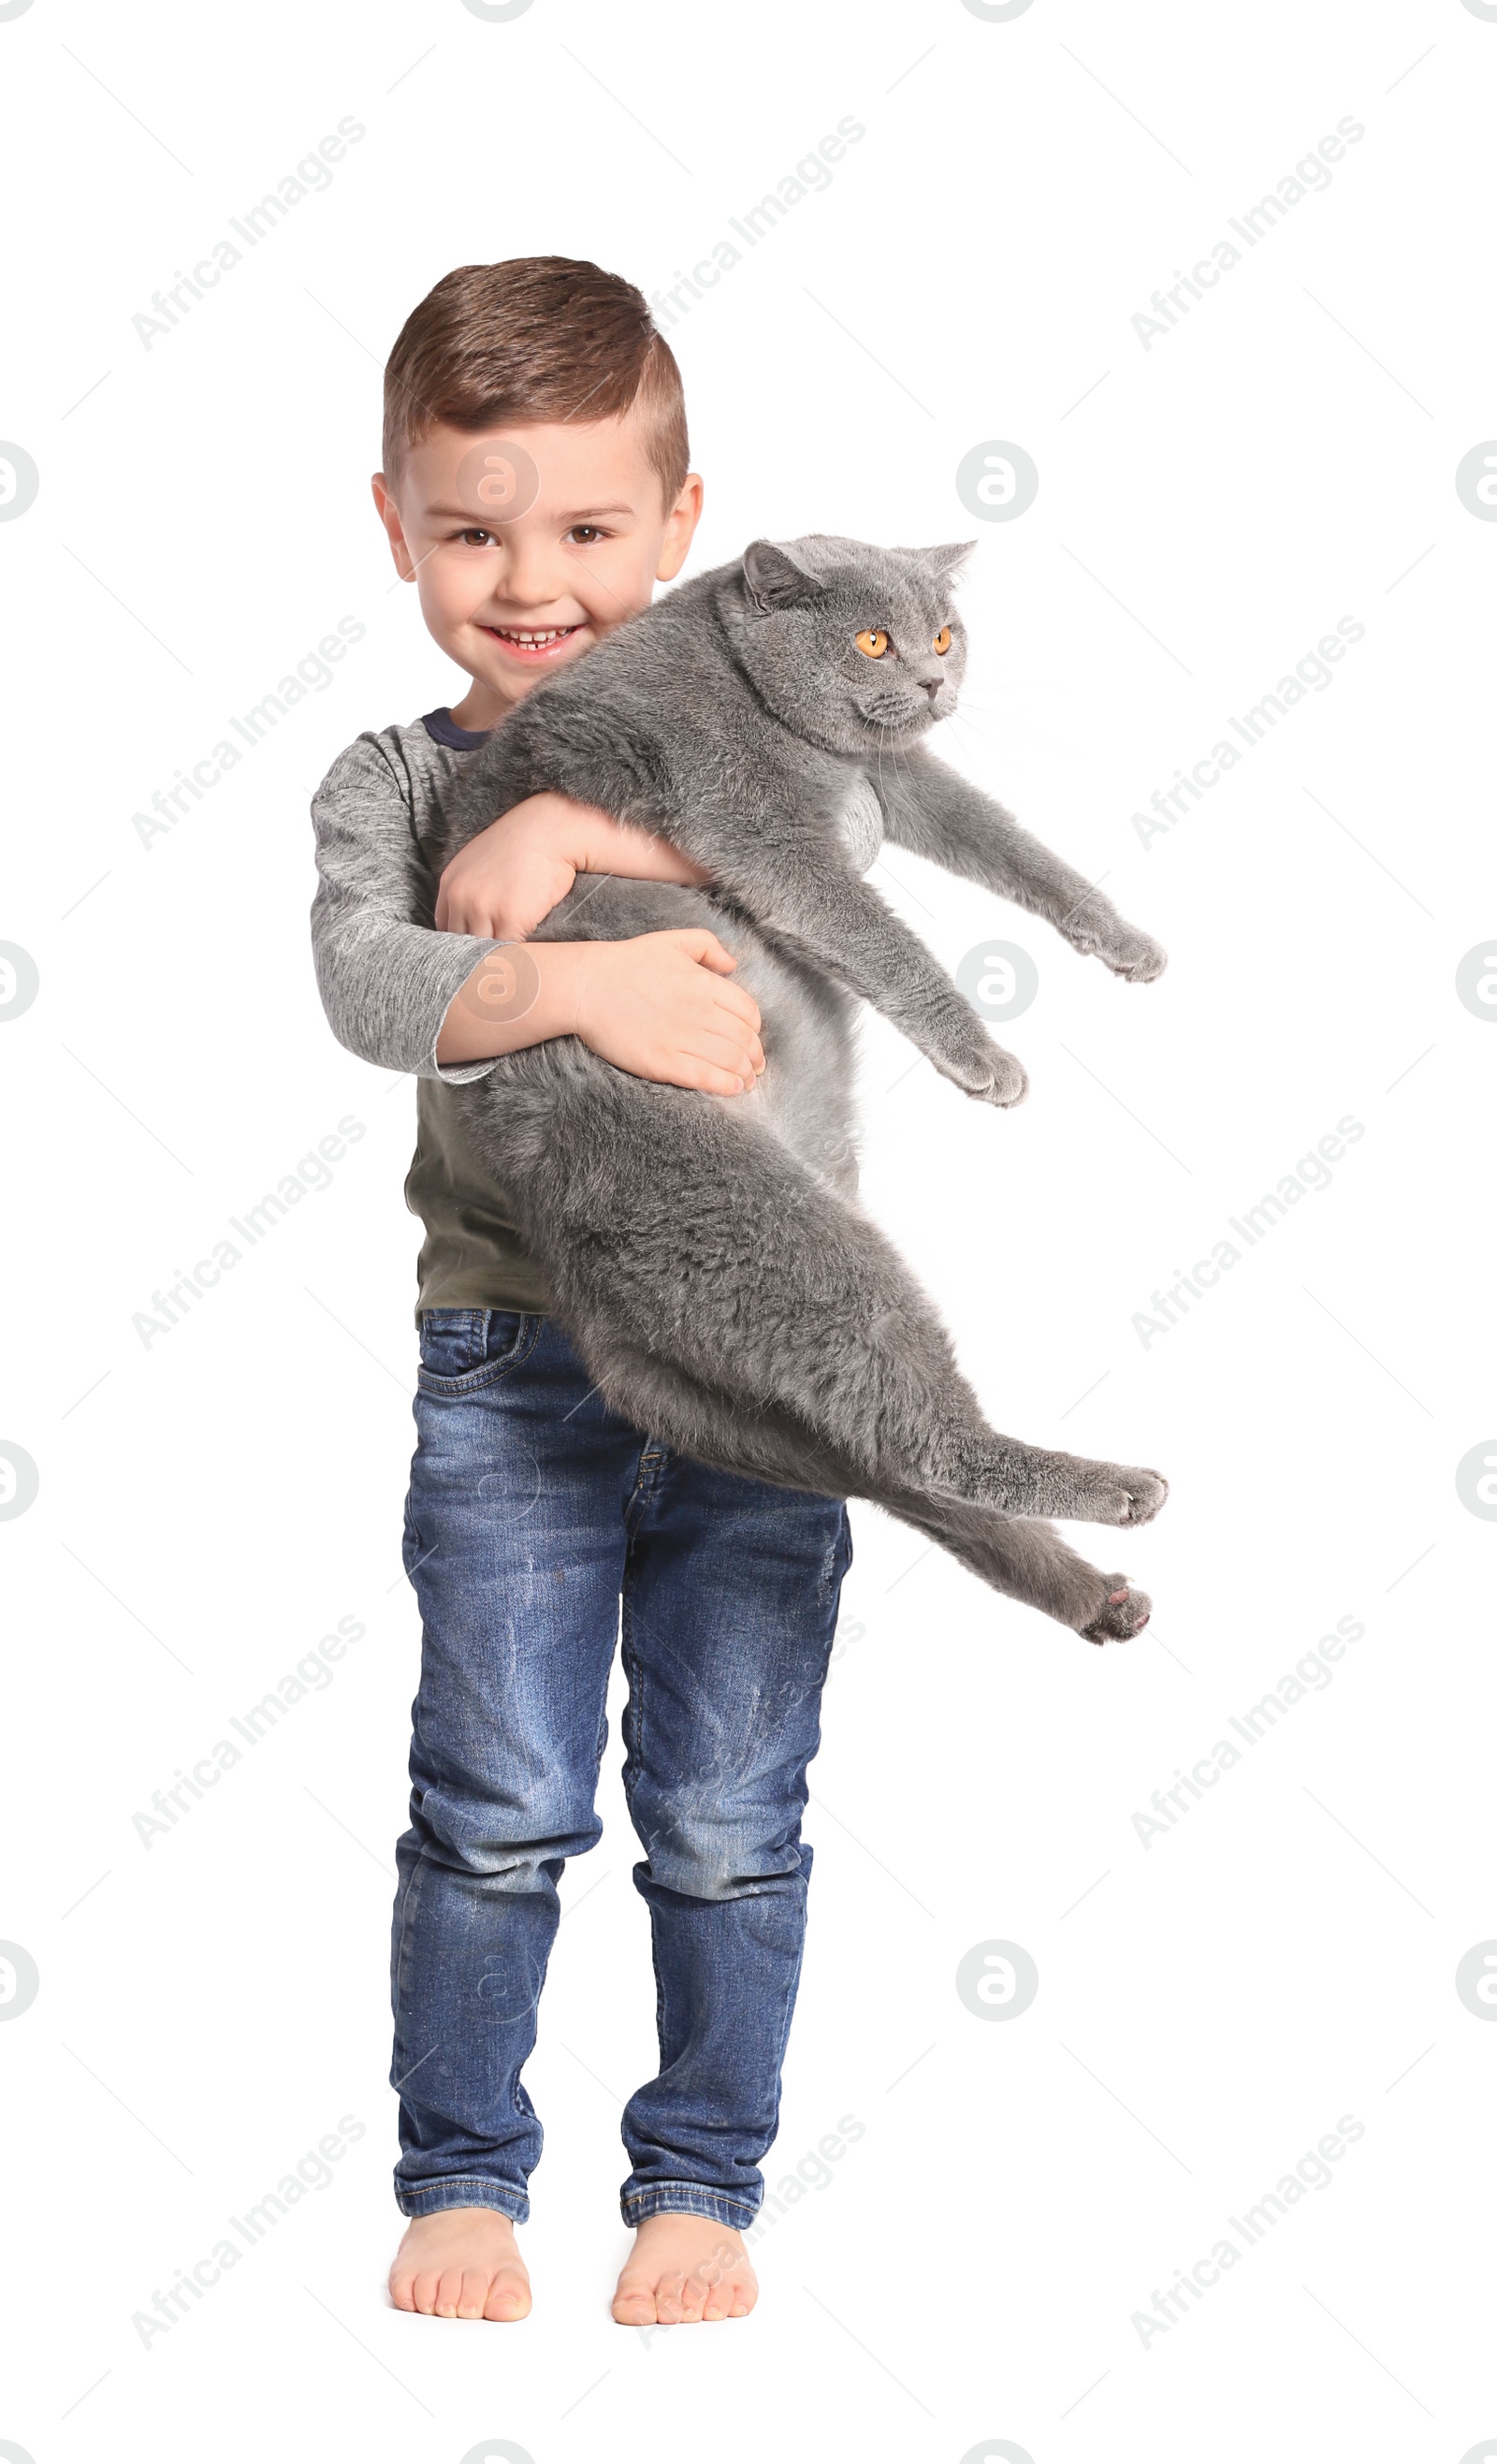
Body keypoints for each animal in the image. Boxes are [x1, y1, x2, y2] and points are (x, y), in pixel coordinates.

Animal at [423, 544, 1171, 1655]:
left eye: (943, 634)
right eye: (873, 638)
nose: (933, 681)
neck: (754, 694)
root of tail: (588, 1302)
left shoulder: (897, 777)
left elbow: (1011, 845)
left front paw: (1121, 939)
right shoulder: (764, 828)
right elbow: (880, 937)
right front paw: (982, 1057)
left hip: (772, 1388)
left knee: (898, 1468)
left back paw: (1096, 1595)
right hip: (780, 1239)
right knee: (928, 1443)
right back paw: (1117, 1488)